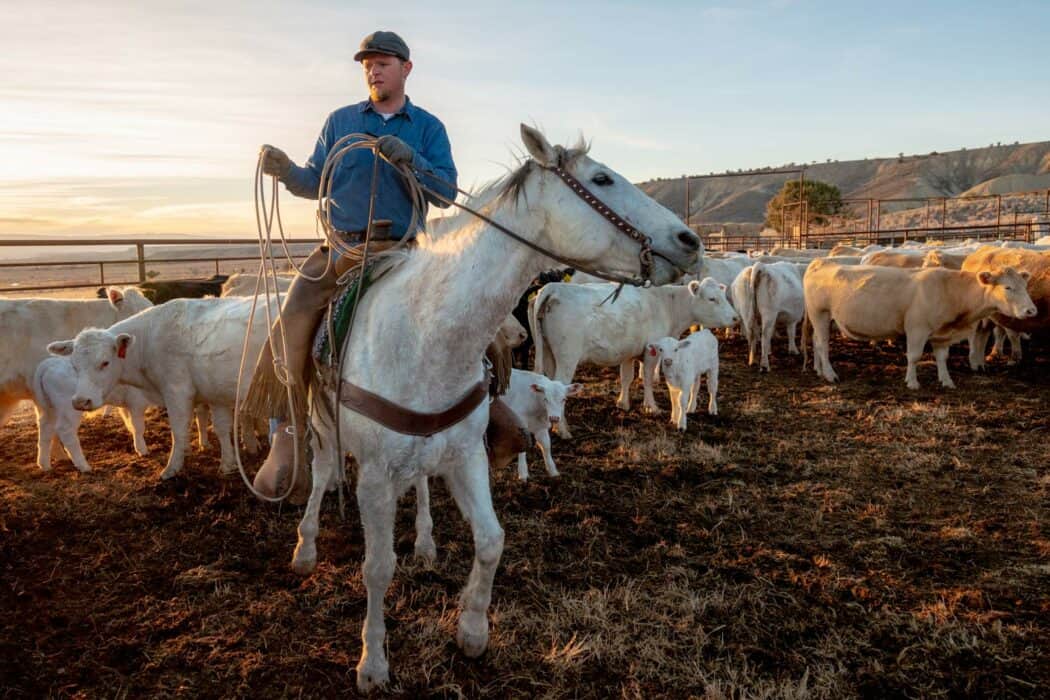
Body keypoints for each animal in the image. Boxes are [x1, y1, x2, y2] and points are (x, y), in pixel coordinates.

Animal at [47, 295, 279, 482]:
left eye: (105, 362)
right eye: (74, 365)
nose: (80, 401)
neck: (149, 339)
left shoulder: (177, 391)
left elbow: (178, 431)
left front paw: (171, 468)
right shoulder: (215, 392)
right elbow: (222, 428)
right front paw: (228, 465)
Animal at [289, 124, 697, 688]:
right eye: (601, 179)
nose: (690, 241)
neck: (426, 333)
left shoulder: (467, 457)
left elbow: (490, 541)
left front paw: (473, 632)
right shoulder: (373, 475)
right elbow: (377, 567)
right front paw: (372, 662)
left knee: (420, 483)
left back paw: (425, 542)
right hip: (324, 428)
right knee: (323, 472)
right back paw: (305, 548)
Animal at [533, 277, 739, 434]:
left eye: (723, 296)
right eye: (712, 299)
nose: (735, 317)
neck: (666, 304)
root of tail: (555, 287)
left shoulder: (628, 353)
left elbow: (626, 378)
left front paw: (623, 403)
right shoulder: (651, 352)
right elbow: (647, 378)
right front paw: (651, 407)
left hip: (548, 354)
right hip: (567, 358)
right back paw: (562, 429)